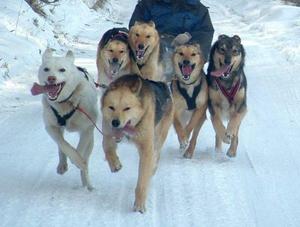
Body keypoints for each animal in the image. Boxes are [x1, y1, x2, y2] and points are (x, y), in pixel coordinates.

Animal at [31, 48, 98, 191]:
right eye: (46, 69)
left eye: (62, 70)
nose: (51, 78)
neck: (65, 102)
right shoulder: (51, 127)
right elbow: (64, 145)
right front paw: (71, 160)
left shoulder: (86, 129)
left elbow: (80, 149)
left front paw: (78, 161)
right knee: (61, 145)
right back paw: (62, 165)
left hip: (91, 140)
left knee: (86, 159)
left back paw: (88, 184)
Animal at [101, 74, 173, 213]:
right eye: (111, 107)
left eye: (127, 108)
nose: (115, 122)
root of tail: (163, 85)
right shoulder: (107, 133)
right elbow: (107, 147)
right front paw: (114, 163)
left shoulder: (146, 149)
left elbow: (142, 182)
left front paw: (139, 204)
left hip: (158, 136)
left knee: (156, 155)